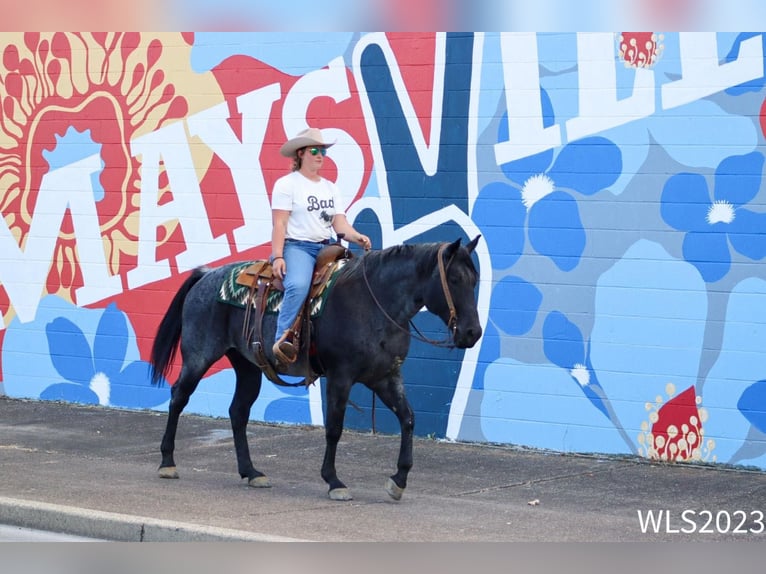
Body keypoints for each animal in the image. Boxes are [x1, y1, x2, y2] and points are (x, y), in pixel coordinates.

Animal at [150, 236, 484, 502]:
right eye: (455, 279)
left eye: (475, 280)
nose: (472, 333)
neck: (374, 302)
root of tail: (206, 275)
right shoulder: (341, 377)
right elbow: (334, 427)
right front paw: (334, 481)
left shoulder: (386, 378)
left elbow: (408, 419)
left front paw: (398, 480)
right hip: (199, 356)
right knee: (178, 397)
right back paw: (167, 462)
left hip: (248, 366)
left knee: (238, 412)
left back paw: (251, 472)